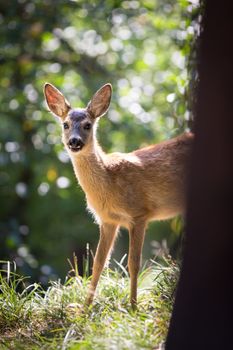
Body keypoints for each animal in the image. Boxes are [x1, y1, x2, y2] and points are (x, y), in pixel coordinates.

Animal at [43, 82, 193, 308]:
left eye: (88, 125)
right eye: (65, 124)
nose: (74, 142)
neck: (109, 183)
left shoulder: (139, 214)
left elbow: (134, 263)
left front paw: (133, 307)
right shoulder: (107, 220)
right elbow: (98, 263)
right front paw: (84, 309)